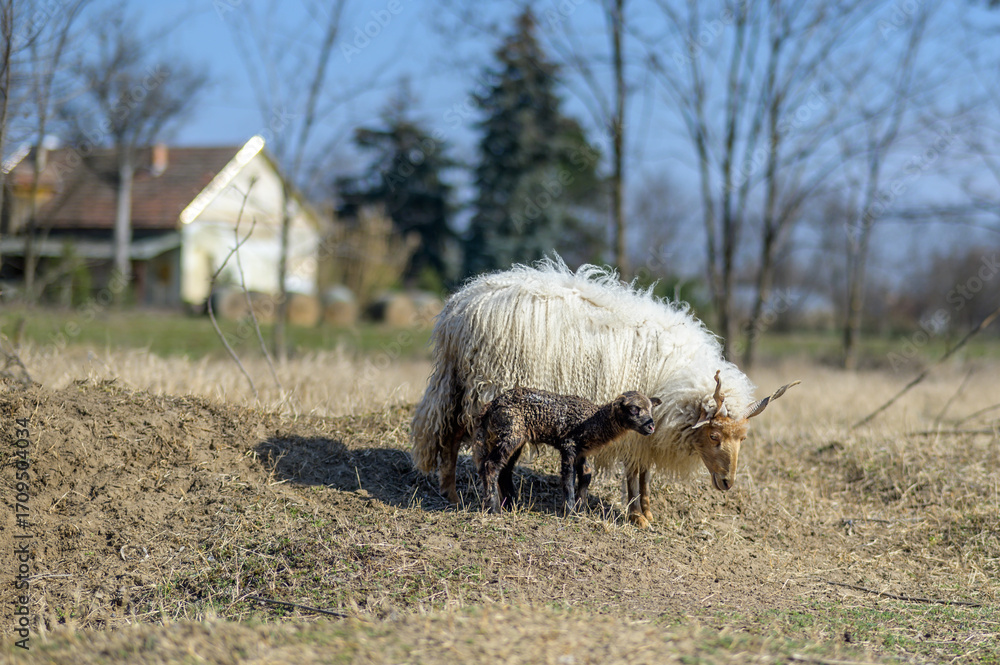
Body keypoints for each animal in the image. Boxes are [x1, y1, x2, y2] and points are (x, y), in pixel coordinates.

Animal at [476, 387, 662, 516]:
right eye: (634, 409)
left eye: (651, 409)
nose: (651, 427)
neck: (593, 420)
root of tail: (491, 405)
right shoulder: (568, 445)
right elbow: (568, 477)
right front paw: (570, 510)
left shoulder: (581, 451)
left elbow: (586, 475)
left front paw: (581, 508)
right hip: (511, 432)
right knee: (491, 466)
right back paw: (493, 509)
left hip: (516, 437)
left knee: (504, 470)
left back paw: (512, 504)